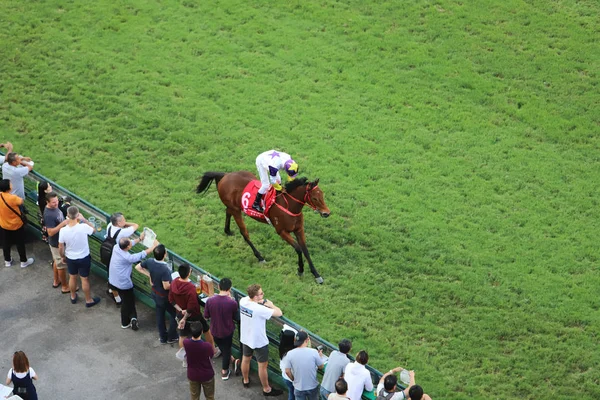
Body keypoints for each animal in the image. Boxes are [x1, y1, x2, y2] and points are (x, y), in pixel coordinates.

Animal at [197, 172, 330, 284]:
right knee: (244, 233)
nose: (326, 213)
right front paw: (300, 270)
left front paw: (316, 275)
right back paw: (260, 257)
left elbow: (305, 250)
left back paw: (227, 230)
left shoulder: (298, 229)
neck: (289, 206)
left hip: (234, 207)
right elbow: (298, 248)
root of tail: (225, 175)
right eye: (314, 198)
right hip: (236, 210)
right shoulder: (281, 231)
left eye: (322, 194)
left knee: (227, 211)